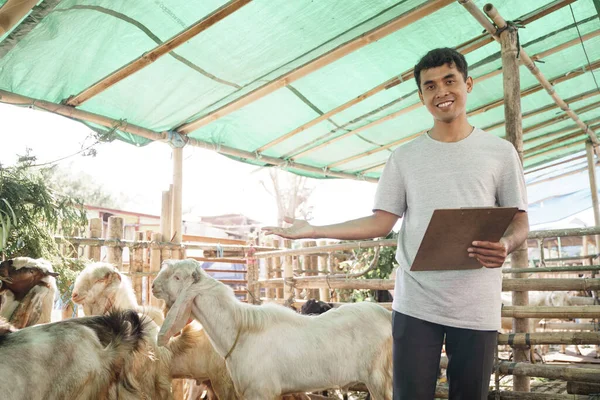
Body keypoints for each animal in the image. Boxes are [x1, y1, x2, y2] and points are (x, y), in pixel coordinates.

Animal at [154, 260, 394, 400]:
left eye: (177, 276)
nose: (154, 286)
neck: (239, 330)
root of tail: (387, 315)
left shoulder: (260, 390)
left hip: (380, 380)